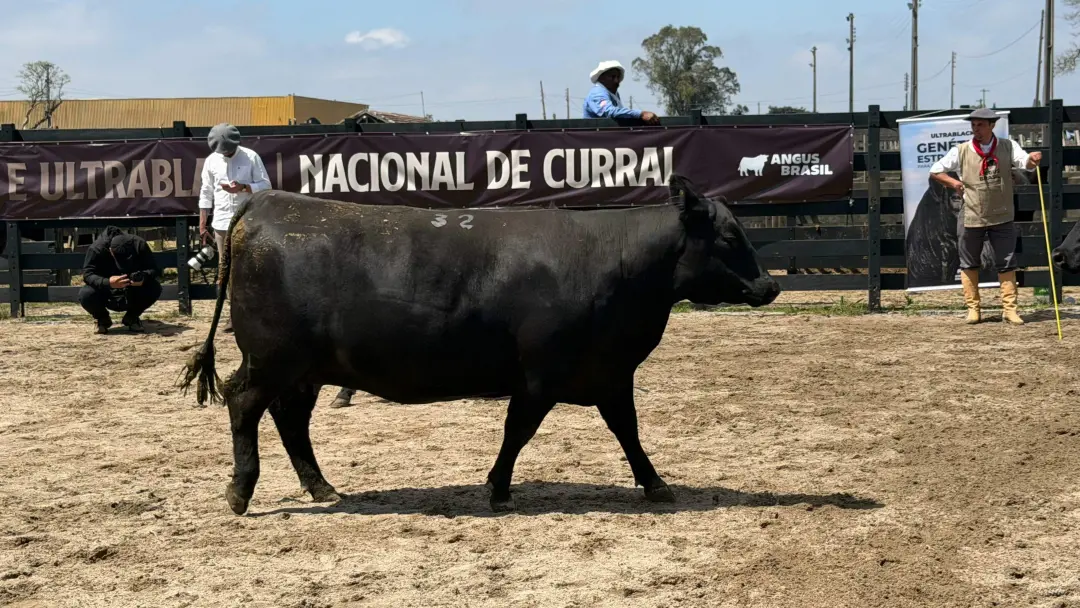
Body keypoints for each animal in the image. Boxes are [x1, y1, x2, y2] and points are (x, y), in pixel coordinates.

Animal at [176, 174, 781, 516]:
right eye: (730, 236)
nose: (770, 286)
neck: (611, 259)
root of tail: (265, 206)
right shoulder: (540, 376)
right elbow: (519, 432)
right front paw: (497, 489)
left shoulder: (609, 374)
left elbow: (627, 431)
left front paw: (654, 483)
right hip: (270, 360)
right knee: (244, 405)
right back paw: (241, 492)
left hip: (304, 370)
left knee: (290, 419)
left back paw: (320, 486)